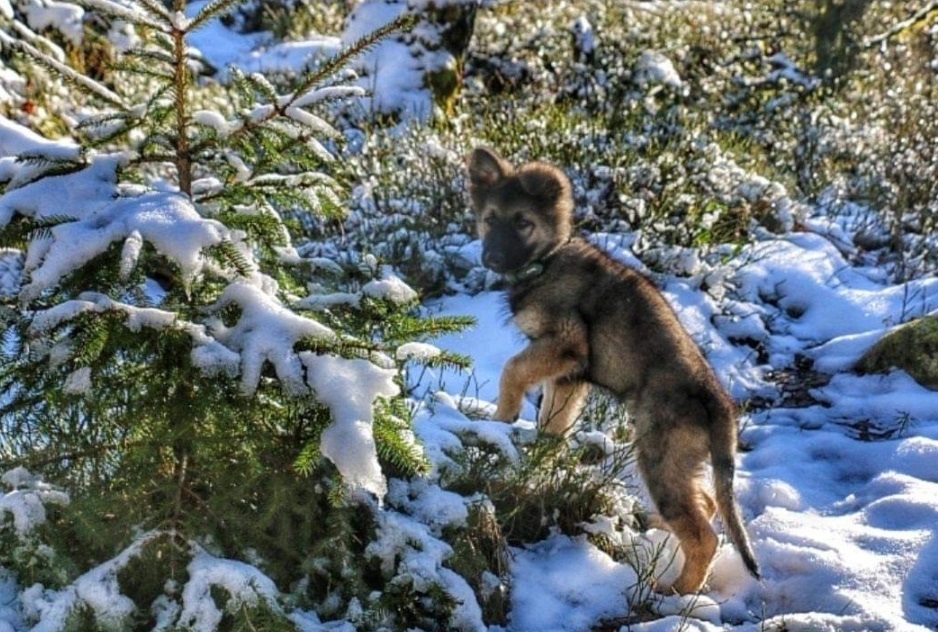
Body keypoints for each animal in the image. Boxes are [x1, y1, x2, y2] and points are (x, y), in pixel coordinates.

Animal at [464, 147, 756, 592]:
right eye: (490, 218)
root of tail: (720, 404)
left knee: (703, 535)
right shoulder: (569, 376)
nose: (492, 257)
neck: (546, 261)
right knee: (704, 504)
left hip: (660, 457)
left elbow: (512, 369)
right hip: (681, 461)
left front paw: (501, 418)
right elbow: (553, 423)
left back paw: (674, 592)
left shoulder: (567, 343)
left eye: (523, 222)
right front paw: (536, 460)